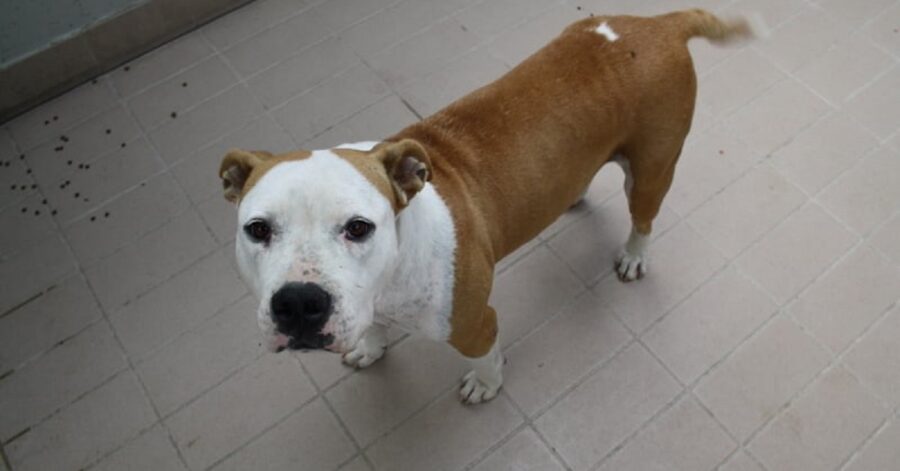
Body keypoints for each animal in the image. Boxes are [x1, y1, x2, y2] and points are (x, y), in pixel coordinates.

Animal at [218, 8, 752, 406]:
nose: (298, 303)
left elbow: (485, 357)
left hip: (652, 169)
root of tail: (660, 22)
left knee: (643, 216)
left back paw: (634, 255)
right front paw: (370, 347)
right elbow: (372, 329)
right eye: (257, 230)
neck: (393, 275)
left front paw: (486, 385)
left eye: (358, 227)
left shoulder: (474, 324)